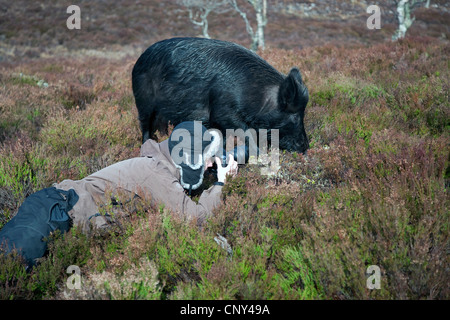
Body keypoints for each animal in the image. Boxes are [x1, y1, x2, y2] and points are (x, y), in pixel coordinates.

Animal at [132, 37, 312, 155]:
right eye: (294, 116)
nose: (305, 147)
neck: (257, 96)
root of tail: (139, 59)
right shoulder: (223, 112)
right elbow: (246, 132)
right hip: (143, 101)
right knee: (145, 126)